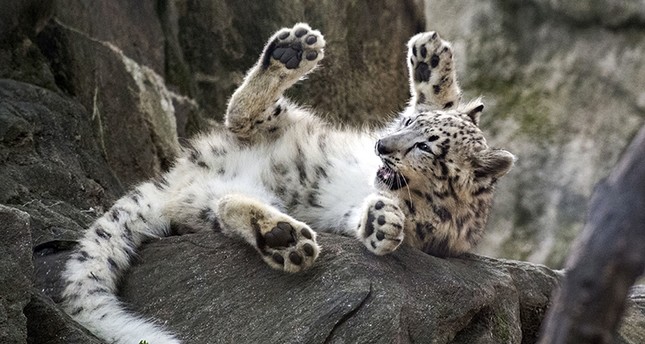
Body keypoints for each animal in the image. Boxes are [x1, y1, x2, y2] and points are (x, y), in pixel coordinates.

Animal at [60, 22, 512, 342]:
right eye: (406, 125)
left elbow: (380, 221)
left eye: (424, 147)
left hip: (211, 202)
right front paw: (430, 59)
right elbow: (444, 100)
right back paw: (290, 53)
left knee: (227, 205)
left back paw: (283, 238)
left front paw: (381, 222)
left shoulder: (425, 232)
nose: (382, 145)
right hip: (279, 124)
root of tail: (183, 173)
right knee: (240, 114)